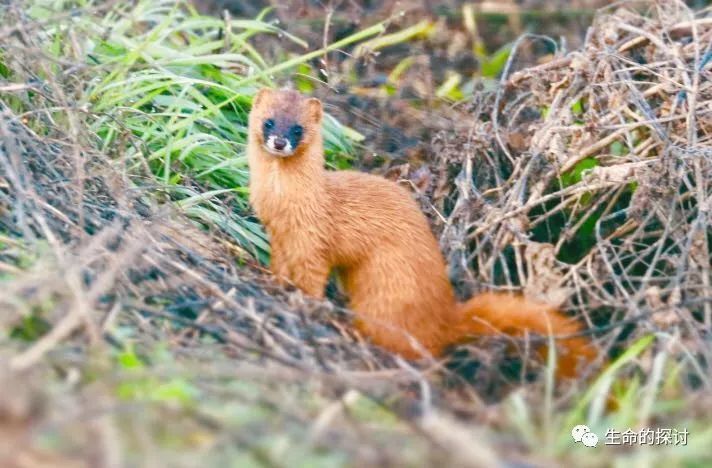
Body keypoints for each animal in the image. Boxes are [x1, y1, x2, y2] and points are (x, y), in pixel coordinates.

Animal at [245, 88, 596, 380]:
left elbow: (311, 276)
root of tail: (444, 317)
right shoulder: (279, 236)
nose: (280, 141)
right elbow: (279, 264)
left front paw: (304, 300)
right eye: (269, 121)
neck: (285, 203)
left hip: (387, 294)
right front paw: (274, 281)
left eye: (297, 129)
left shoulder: (313, 240)